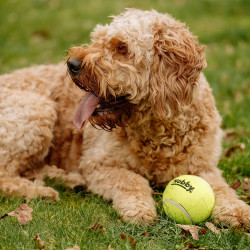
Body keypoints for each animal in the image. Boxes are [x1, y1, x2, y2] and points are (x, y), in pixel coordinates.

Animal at [0, 9, 250, 226]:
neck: (158, 131)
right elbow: (132, 181)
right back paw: (41, 191)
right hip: (37, 111)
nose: (72, 64)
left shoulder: (204, 168)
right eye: (97, 39)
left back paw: (69, 180)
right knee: (5, 176)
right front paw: (139, 209)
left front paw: (238, 211)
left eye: (122, 47)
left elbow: (221, 189)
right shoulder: (99, 164)